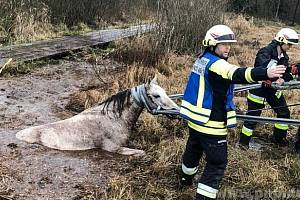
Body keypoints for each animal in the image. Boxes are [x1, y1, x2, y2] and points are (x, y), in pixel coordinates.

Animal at [15, 76, 178, 156]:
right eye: (156, 95)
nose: (176, 110)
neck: (114, 118)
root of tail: (18, 135)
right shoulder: (113, 148)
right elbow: (142, 153)